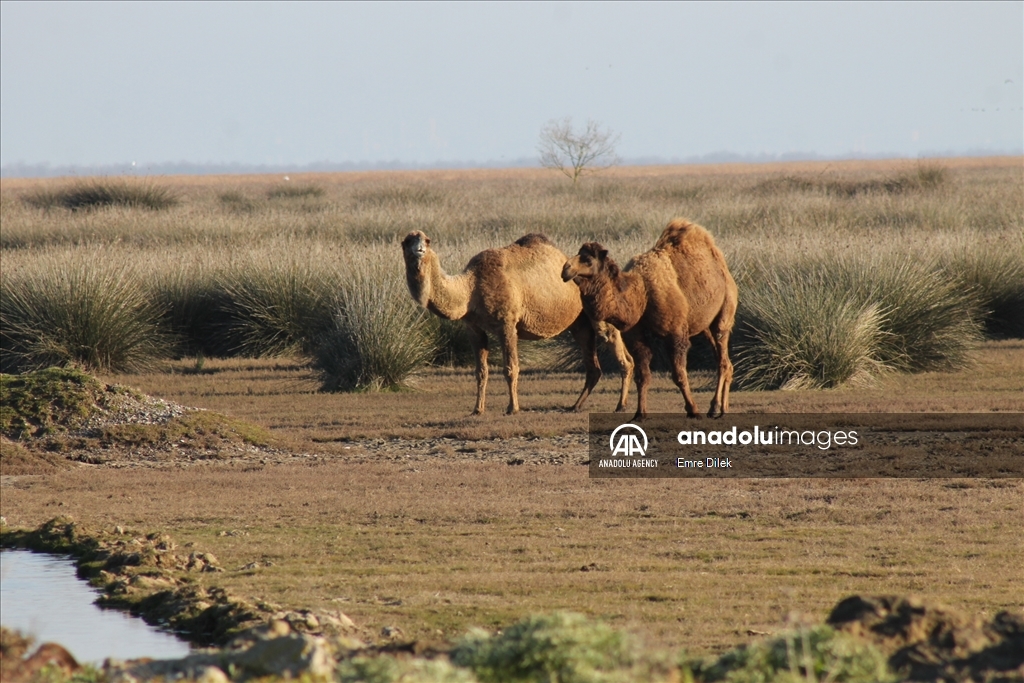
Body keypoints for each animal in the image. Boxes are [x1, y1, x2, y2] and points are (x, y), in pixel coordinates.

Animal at [399, 229, 630, 413]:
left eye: (427, 241)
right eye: (406, 241)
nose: (418, 250)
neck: (471, 288)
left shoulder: (507, 323)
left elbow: (511, 368)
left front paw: (513, 408)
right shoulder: (473, 328)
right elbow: (481, 371)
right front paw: (477, 409)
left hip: (600, 314)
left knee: (621, 354)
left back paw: (620, 406)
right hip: (580, 324)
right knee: (593, 366)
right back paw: (575, 406)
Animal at [561, 219, 737, 421]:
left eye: (588, 260)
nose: (565, 269)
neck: (641, 294)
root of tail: (723, 268)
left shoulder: (676, 333)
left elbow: (679, 375)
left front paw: (693, 410)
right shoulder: (635, 335)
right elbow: (642, 375)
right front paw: (639, 414)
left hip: (725, 312)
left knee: (722, 357)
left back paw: (715, 408)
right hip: (704, 326)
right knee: (725, 361)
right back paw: (723, 407)